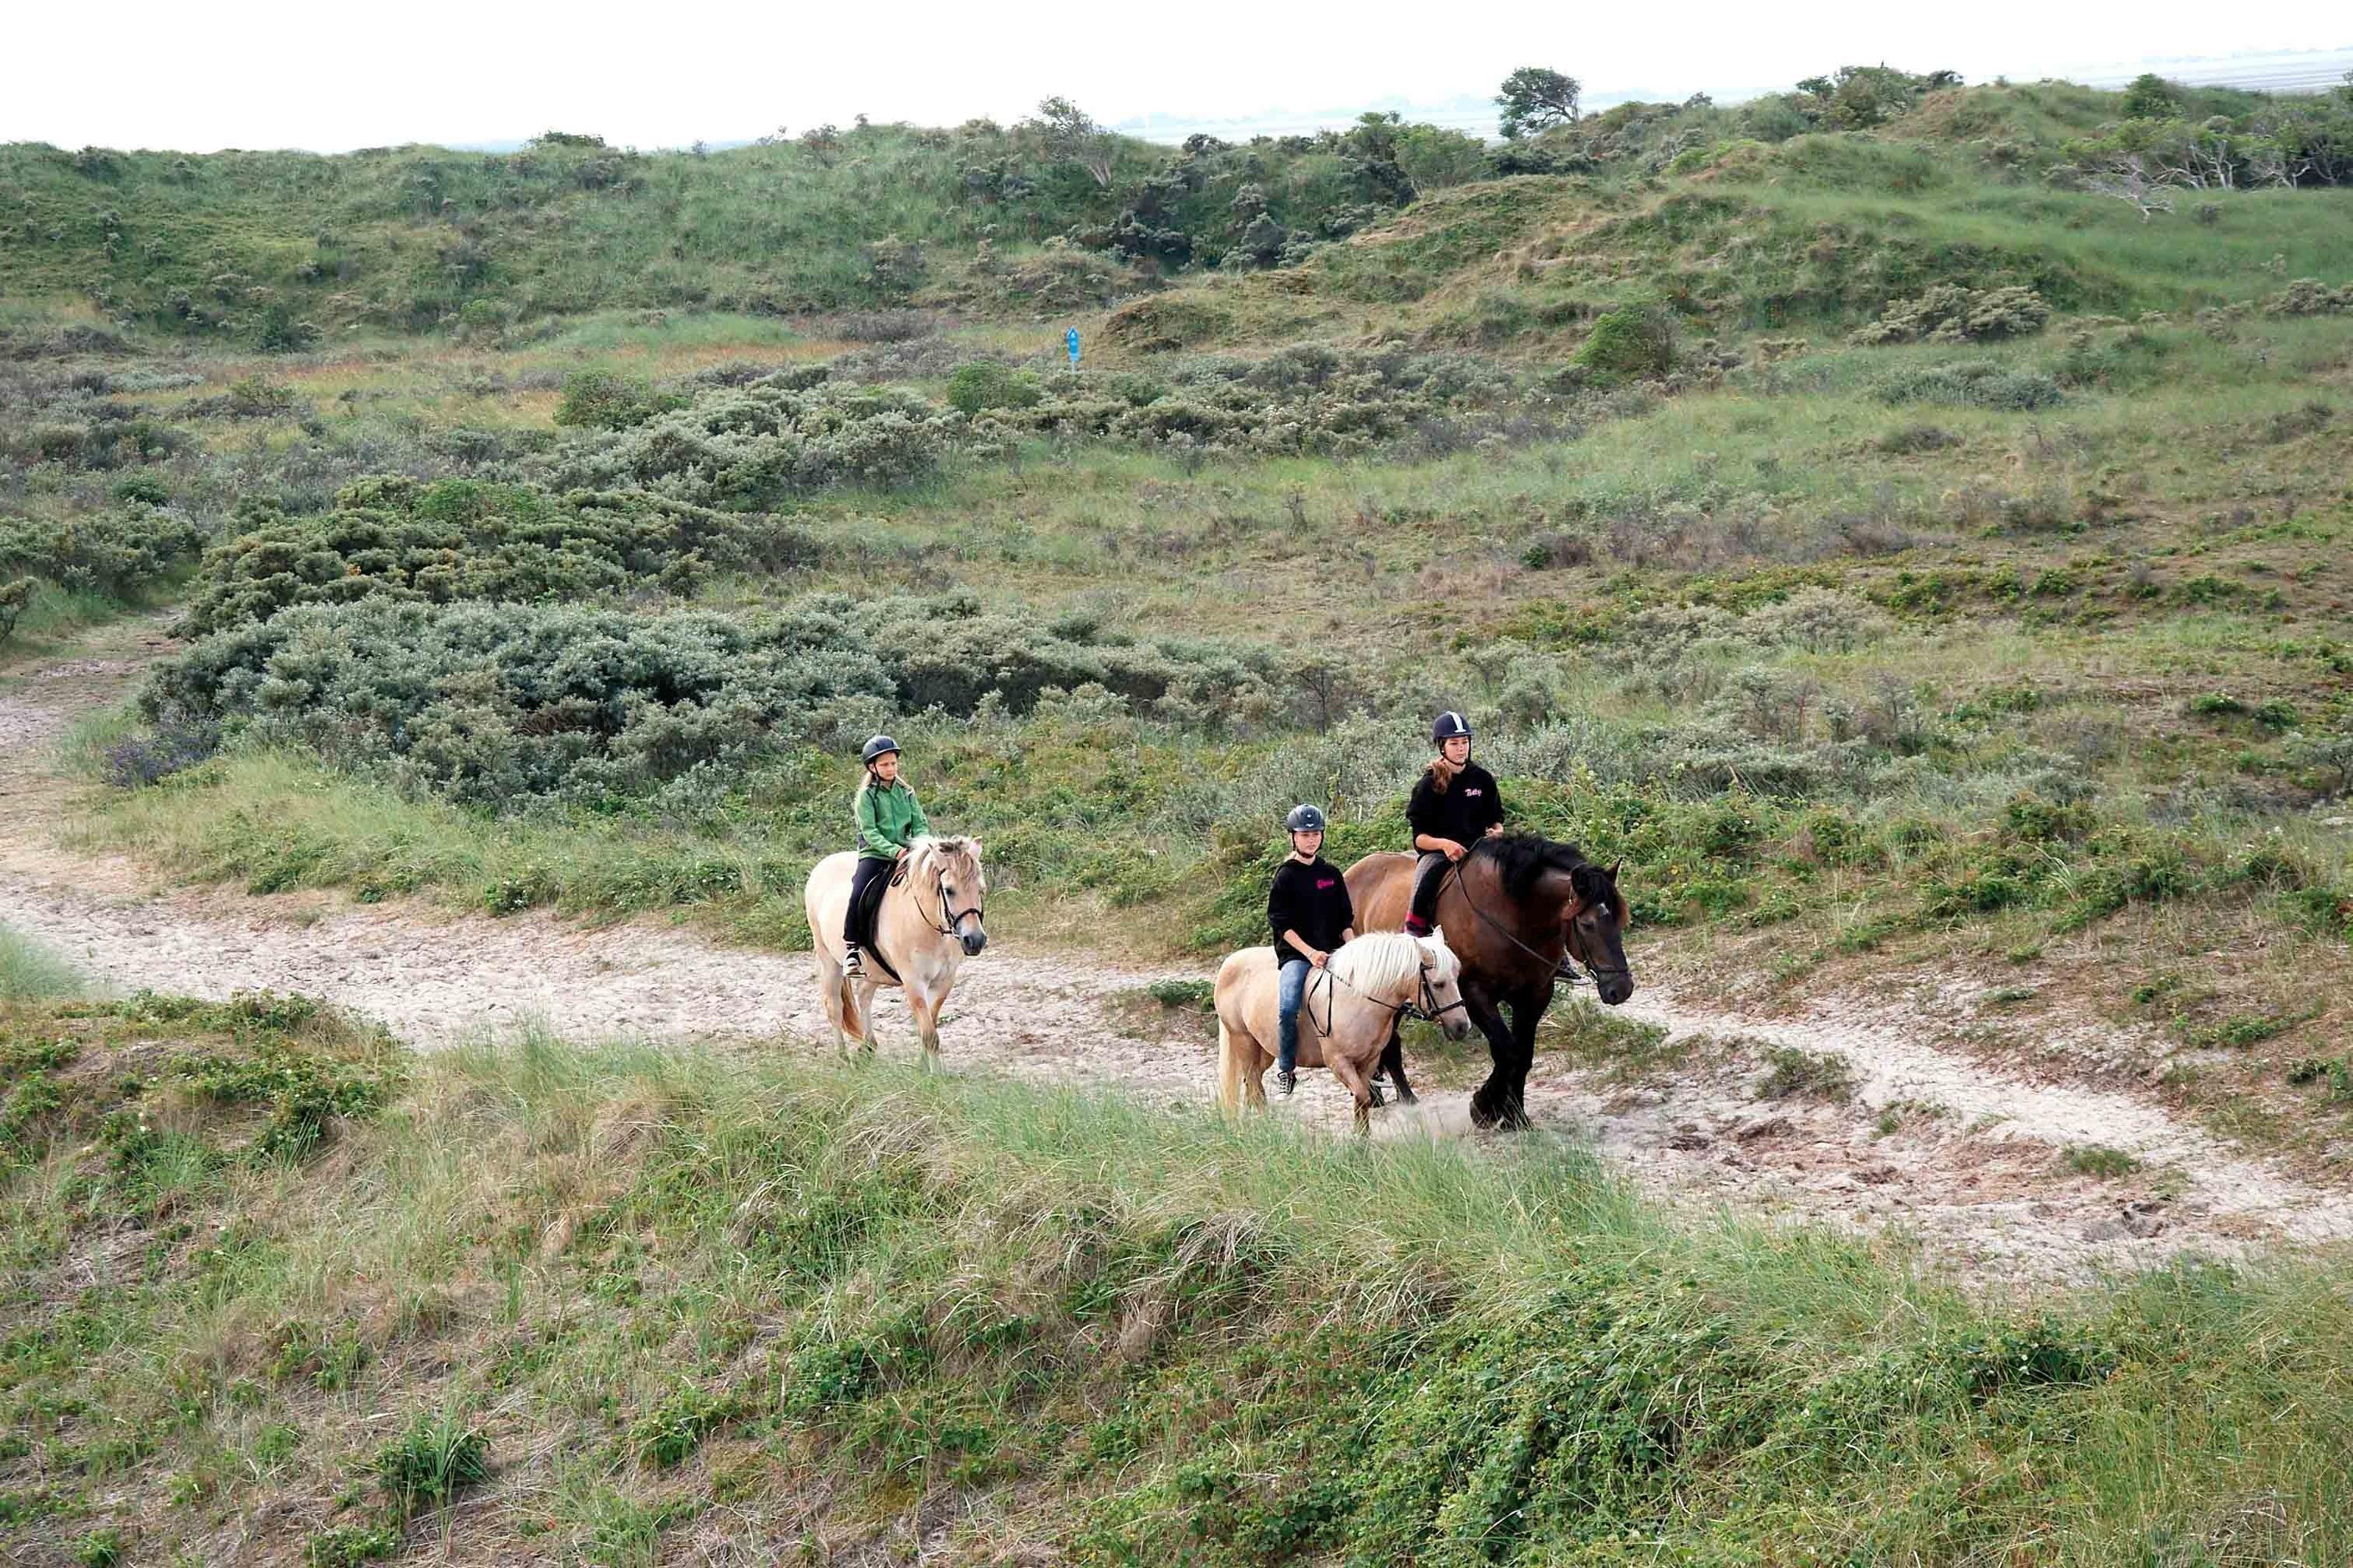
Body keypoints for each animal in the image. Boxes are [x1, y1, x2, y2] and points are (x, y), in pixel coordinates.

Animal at [804, 835, 988, 1065]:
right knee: (834, 1008)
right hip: (828, 959)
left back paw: (869, 1047)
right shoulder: (913, 982)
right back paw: (843, 1059)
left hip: (873, 968)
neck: (927, 923)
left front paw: (922, 1064)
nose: (975, 940)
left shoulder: (944, 981)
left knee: (864, 994)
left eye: (980, 890)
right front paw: (935, 1072)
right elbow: (930, 1035)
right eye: (949, 890)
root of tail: (820, 867)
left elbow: (930, 1024)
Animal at [1213, 928, 1472, 1132]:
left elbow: (1362, 1101)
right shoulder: (1339, 1062)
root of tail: (1228, 964)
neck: (1357, 1000)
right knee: (1255, 1087)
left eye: (1457, 976)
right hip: (1244, 1041)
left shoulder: (1368, 1061)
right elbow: (1362, 1096)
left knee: (1252, 1084)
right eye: (1438, 984)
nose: (1462, 1027)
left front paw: (1363, 1142)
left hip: (1265, 1049)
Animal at [1345, 833, 1633, 1130]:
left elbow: (1523, 1054)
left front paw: (1515, 1116)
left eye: (1621, 918)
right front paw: (1485, 1106)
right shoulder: (1474, 995)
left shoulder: (1535, 995)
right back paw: (1398, 1098)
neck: (1510, 916)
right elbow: (1507, 1052)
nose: (1621, 989)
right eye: (1587, 924)